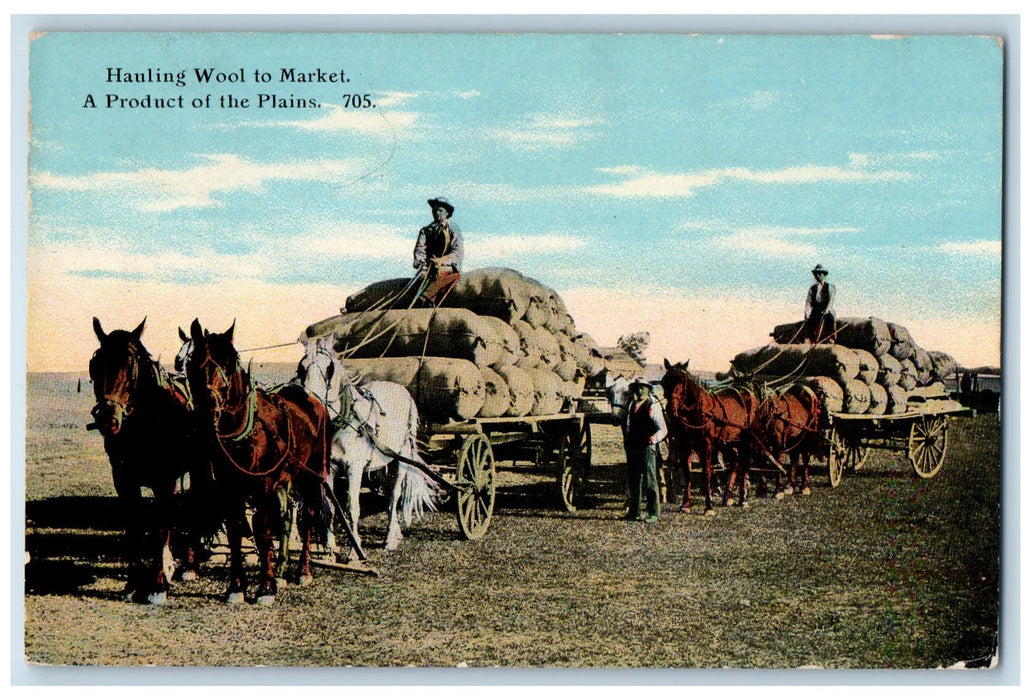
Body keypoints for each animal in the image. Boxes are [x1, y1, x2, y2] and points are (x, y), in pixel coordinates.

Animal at [87, 319, 217, 606]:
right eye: (96, 364)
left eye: (131, 365)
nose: (108, 419)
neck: (144, 424)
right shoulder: (124, 480)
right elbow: (134, 528)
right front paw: (132, 584)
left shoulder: (164, 479)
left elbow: (160, 528)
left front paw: (157, 587)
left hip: (198, 468)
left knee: (192, 509)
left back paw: (189, 567)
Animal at [185, 319, 329, 606]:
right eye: (194, 361)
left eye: (228, 363)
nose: (209, 411)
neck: (246, 431)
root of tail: (312, 398)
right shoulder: (228, 489)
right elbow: (235, 532)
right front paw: (236, 587)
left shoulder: (263, 486)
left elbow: (262, 532)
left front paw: (266, 587)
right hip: (284, 481)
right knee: (285, 517)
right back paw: (283, 571)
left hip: (312, 476)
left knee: (307, 518)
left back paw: (303, 571)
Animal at [298, 336, 443, 556]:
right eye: (301, 367)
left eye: (329, 368)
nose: (308, 402)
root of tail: (403, 390)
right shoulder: (329, 469)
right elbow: (330, 507)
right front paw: (330, 546)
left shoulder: (354, 469)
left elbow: (352, 508)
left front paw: (354, 550)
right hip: (382, 462)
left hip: (401, 458)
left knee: (394, 497)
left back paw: (390, 538)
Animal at [659, 360, 758, 515]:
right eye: (664, 381)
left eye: (682, 381)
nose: (670, 410)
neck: (696, 412)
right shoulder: (685, 446)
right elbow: (687, 474)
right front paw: (685, 505)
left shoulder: (706, 445)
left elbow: (707, 473)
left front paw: (708, 506)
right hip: (727, 443)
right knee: (736, 463)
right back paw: (727, 497)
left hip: (746, 441)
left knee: (744, 465)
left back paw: (743, 500)